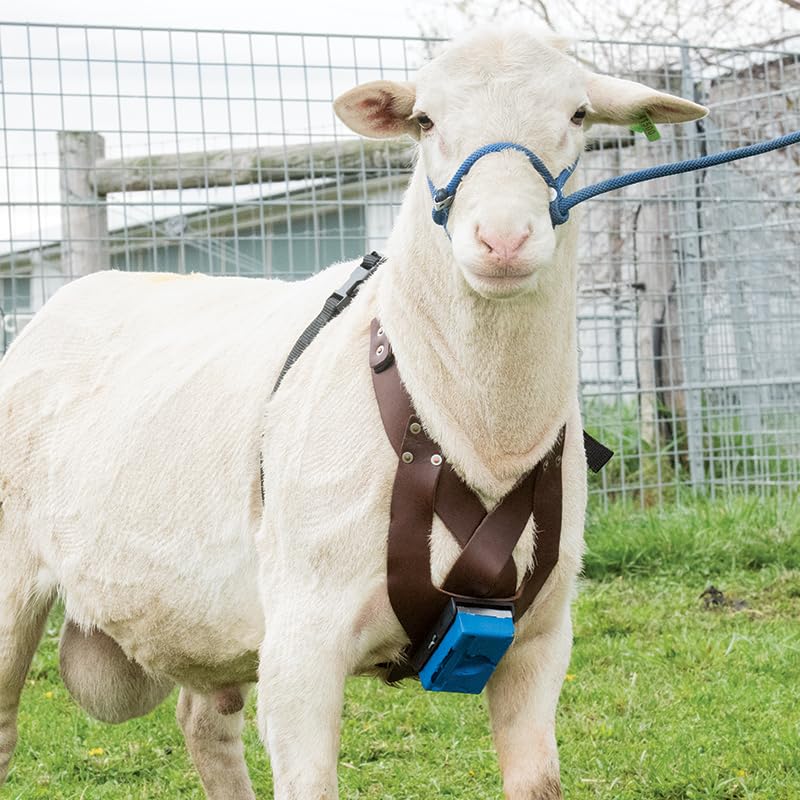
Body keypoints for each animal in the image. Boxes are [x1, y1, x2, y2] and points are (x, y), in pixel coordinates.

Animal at [0, 25, 706, 800]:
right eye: (424, 121)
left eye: (579, 114)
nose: (503, 240)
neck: (474, 431)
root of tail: (72, 294)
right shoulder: (303, 642)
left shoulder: (541, 641)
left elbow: (537, 781)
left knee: (204, 722)